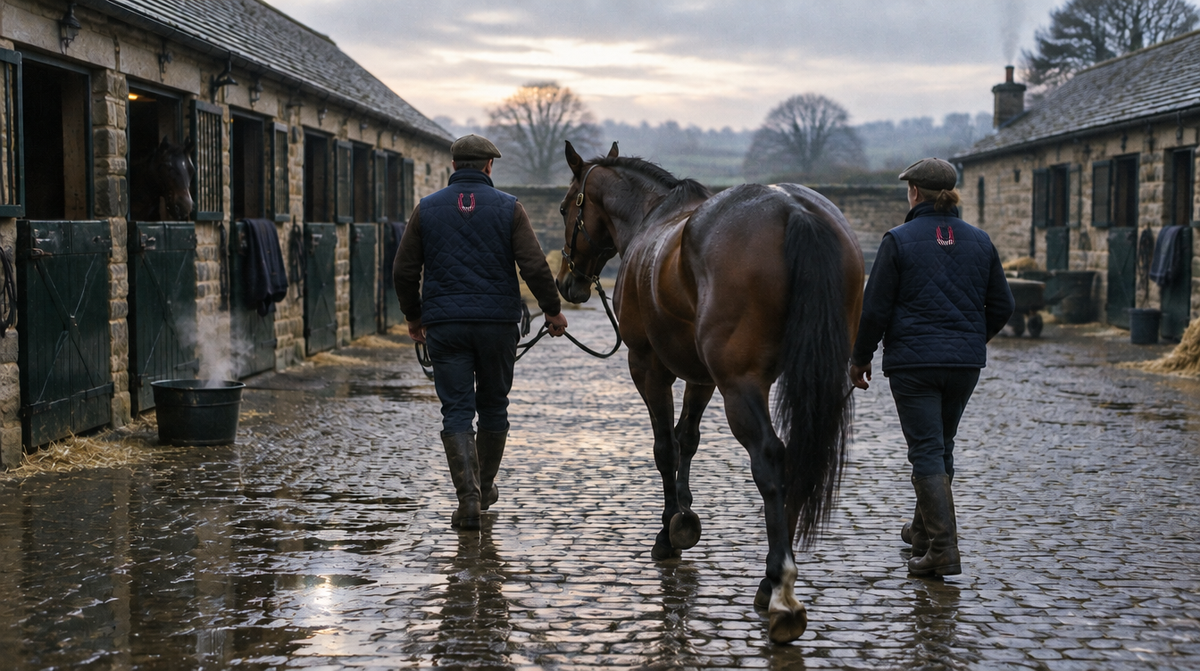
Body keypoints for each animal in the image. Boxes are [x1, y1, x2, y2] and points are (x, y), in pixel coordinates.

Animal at [556, 141, 864, 645]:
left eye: (566, 207)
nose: (568, 282)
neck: (651, 221)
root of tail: (795, 210)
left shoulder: (648, 367)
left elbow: (664, 446)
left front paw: (669, 533)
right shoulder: (701, 377)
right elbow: (688, 439)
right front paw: (684, 518)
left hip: (739, 383)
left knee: (770, 456)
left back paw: (782, 591)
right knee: (801, 458)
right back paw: (768, 584)